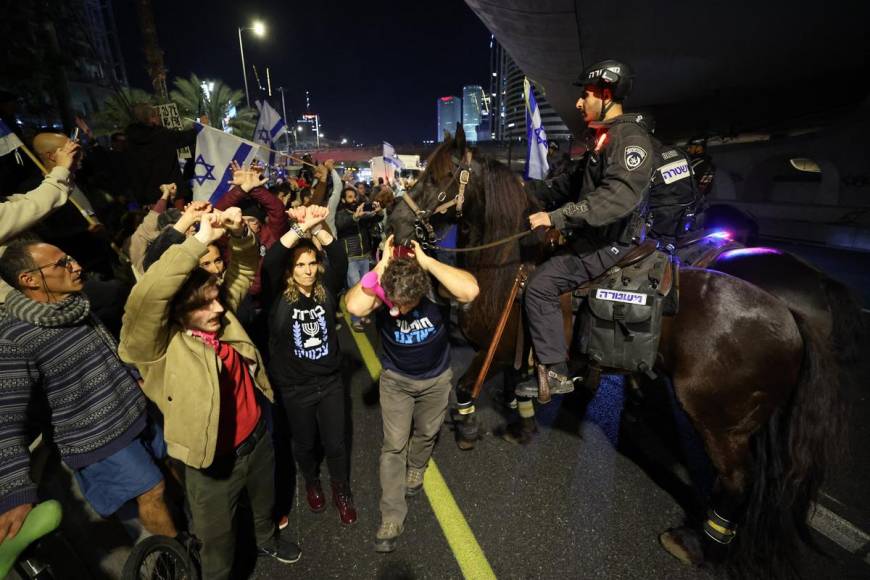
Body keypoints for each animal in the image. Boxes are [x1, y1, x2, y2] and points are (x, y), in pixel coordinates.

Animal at [388, 129, 852, 576]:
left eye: (437, 177)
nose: (394, 219)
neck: (507, 267)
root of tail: (790, 315)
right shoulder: (518, 351)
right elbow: (518, 388)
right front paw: (523, 425)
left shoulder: (496, 348)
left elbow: (467, 388)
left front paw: (467, 430)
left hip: (721, 422)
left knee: (737, 480)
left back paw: (699, 544)